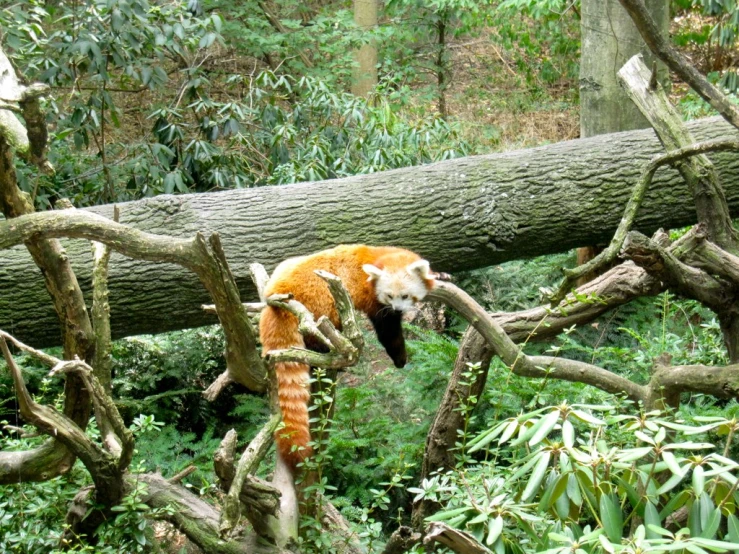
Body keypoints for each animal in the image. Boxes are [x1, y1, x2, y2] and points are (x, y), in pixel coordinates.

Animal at [260, 244, 436, 468]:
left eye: (405, 296)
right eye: (390, 296)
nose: (398, 309)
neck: (378, 257)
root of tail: (277, 296)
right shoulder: (374, 303)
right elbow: (388, 331)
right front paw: (400, 357)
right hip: (319, 301)